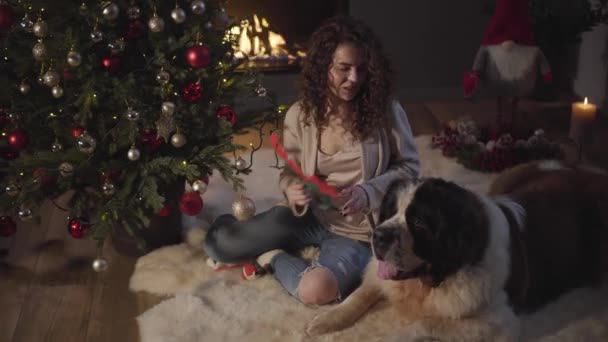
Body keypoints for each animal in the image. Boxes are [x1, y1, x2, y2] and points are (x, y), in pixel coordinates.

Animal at [306, 161, 608, 342]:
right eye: (389, 212)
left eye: (419, 223)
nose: (377, 236)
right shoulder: (380, 277)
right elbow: (359, 294)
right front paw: (327, 318)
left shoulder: (500, 322)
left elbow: (426, 324)